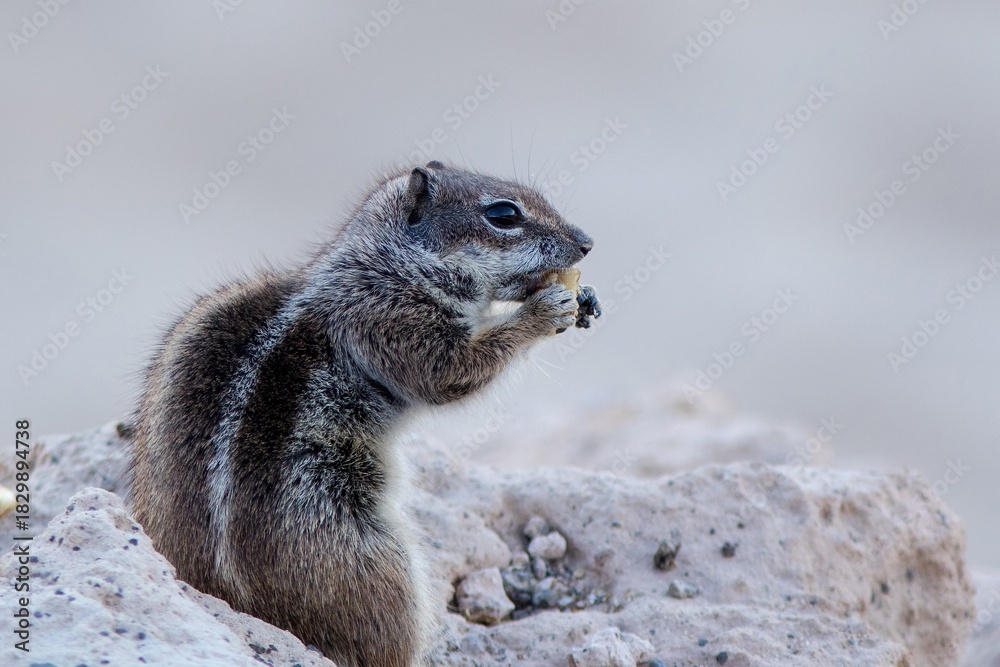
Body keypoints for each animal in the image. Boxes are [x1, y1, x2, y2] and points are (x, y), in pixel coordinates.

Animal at [126, 161, 599, 666]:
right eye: (504, 215)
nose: (586, 242)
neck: (385, 262)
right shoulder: (392, 320)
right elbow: (454, 370)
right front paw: (543, 310)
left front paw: (584, 295)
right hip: (371, 561)